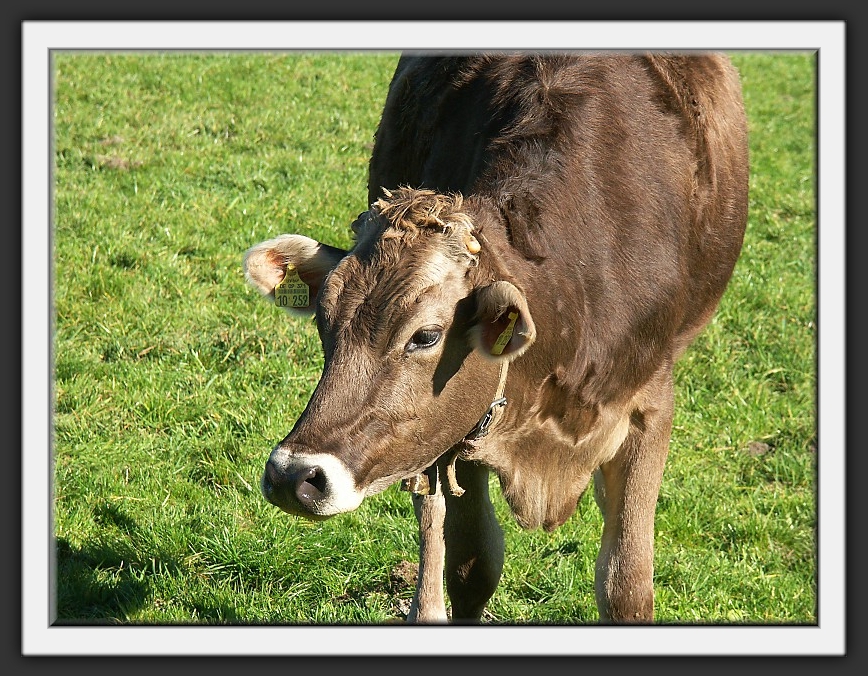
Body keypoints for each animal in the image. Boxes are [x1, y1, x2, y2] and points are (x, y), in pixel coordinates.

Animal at [243, 52, 749, 624]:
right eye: (323, 322)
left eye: (426, 335)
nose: (293, 476)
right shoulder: (462, 429)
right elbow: (472, 564)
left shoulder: (650, 404)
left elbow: (626, 587)